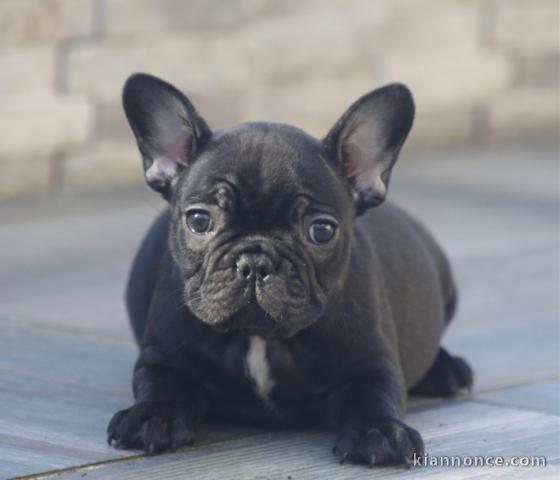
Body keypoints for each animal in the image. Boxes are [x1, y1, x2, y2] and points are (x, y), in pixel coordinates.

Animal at [108, 73, 472, 466]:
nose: (254, 262)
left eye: (321, 230)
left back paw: (447, 370)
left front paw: (380, 431)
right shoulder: (163, 358)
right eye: (199, 220)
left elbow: (373, 395)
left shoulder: (373, 363)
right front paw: (153, 416)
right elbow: (162, 386)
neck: (259, 336)